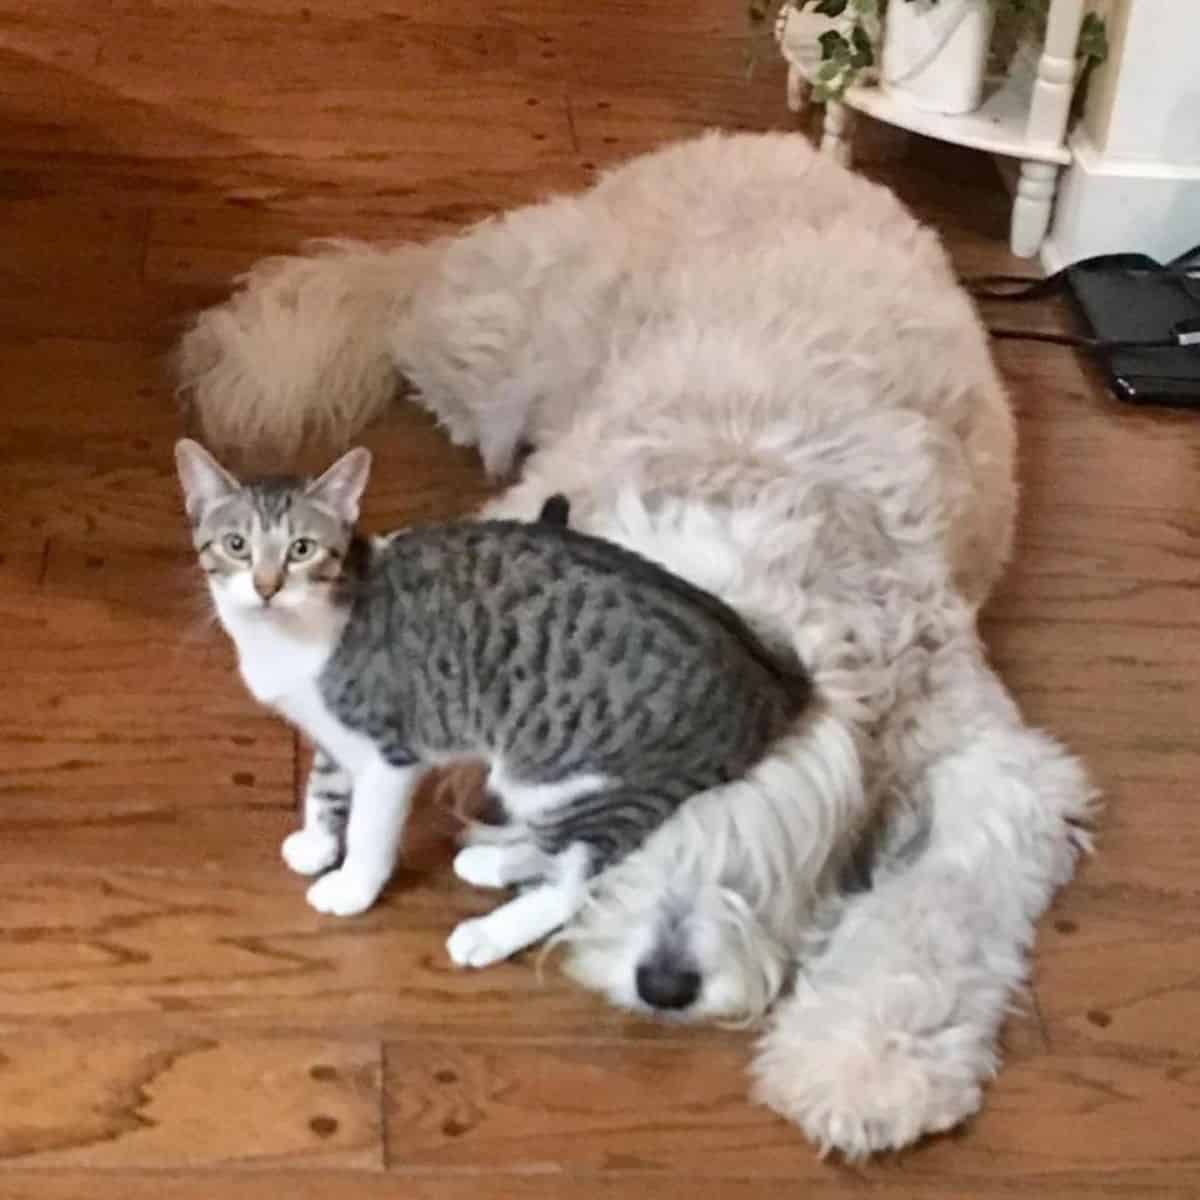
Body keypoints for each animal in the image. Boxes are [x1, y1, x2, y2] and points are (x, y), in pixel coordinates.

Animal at [175, 441, 816, 974]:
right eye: (236, 545)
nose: (266, 587)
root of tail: (771, 683)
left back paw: (489, 933)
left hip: (562, 776)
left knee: (575, 882)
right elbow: (324, 785)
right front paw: (315, 842)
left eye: (302, 549)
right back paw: (493, 861)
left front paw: (352, 885)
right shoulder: (338, 736)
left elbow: (370, 829)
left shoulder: (390, 751)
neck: (289, 640)